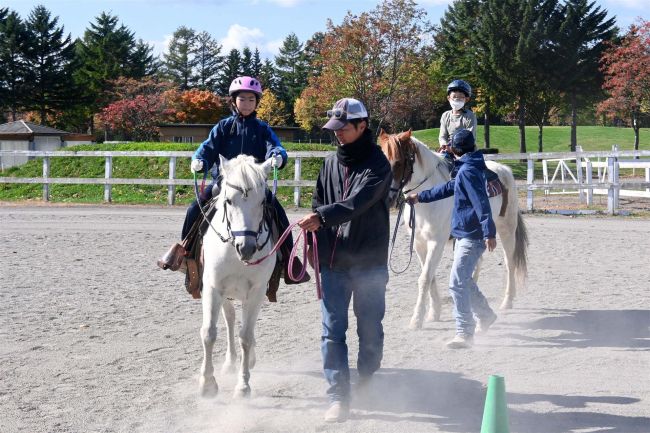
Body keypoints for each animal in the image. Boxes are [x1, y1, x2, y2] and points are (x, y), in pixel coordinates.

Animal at [200, 154, 276, 396]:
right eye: (229, 201)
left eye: (262, 202)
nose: (247, 248)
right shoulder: (213, 287)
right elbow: (209, 333)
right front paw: (207, 383)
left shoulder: (256, 291)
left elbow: (246, 337)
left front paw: (243, 385)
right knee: (230, 319)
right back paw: (229, 362)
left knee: (245, 328)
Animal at [378, 130, 524, 330]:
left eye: (398, 162)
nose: (387, 199)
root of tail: (504, 170)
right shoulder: (419, 244)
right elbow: (429, 276)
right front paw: (434, 313)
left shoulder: (436, 243)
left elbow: (424, 278)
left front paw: (417, 319)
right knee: (476, 264)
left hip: (506, 229)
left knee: (509, 263)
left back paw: (507, 302)